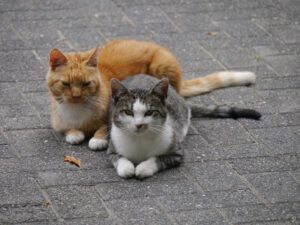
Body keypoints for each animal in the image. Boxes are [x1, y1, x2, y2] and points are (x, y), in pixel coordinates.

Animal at [47, 39, 255, 150]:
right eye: (66, 84)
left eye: (86, 84)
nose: (76, 95)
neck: (76, 110)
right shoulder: (59, 121)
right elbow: (68, 129)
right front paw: (74, 133)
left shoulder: (110, 115)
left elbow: (102, 128)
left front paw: (96, 139)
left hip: (161, 66)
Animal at [107, 74, 260, 178]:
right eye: (128, 112)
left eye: (149, 112)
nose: (139, 125)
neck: (140, 140)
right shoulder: (111, 149)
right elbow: (119, 159)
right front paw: (127, 168)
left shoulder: (176, 153)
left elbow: (158, 159)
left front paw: (143, 168)